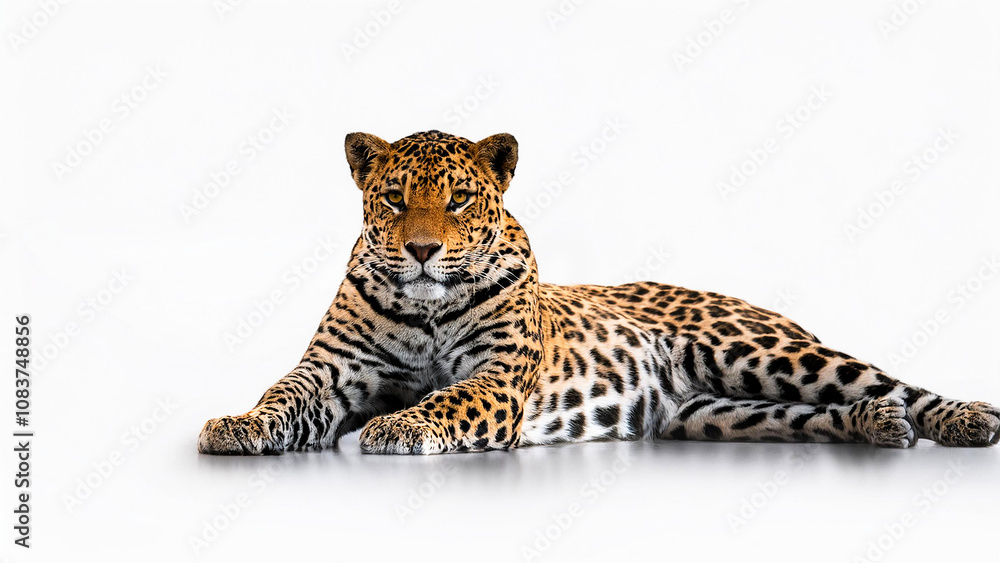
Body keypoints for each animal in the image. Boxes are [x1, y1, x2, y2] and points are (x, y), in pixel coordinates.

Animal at [198, 130, 1000, 455]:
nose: (423, 251)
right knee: (813, 415)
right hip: (712, 414)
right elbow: (281, 393)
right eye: (395, 199)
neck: (425, 308)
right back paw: (875, 425)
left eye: (458, 200)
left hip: (764, 352)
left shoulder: (498, 379)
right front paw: (236, 423)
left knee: (898, 385)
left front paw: (397, 426)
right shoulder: (332, 371)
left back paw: (966, 419)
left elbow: (447, 399)